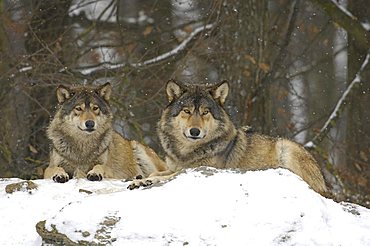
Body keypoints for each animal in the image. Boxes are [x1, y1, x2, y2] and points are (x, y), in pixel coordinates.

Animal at [129, 79, 326, 194]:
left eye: (205, 112)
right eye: (187, 111)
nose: (195, 132)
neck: (187, 153)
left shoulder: (195, 169)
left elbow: (166, 176)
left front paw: (146, 181)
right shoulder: (173, 166)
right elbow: (158, 171)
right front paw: (141, 179)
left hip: (286, 147)